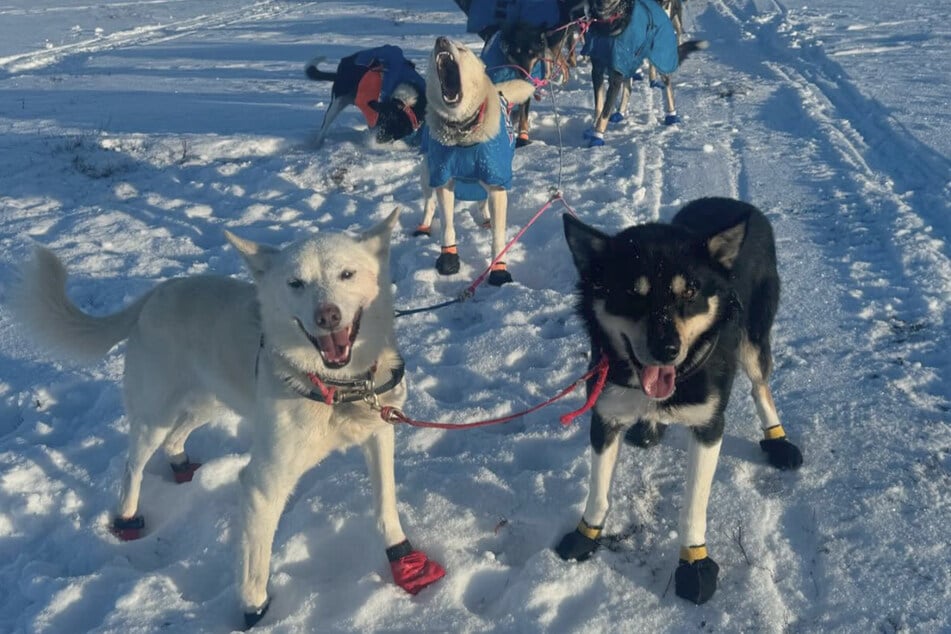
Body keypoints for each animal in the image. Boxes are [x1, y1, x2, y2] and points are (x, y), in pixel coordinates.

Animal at [7, 209, 446, 628]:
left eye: (347, 274)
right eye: (295, 283)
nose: (327, 315)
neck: (338, 388)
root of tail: (156, 294)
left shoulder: (379, 435)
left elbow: (386, 507)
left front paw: (405, 560)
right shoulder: (262, 484)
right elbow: (255, 562)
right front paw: (254, 611)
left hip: (210, 401)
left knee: (175, 440)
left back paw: (183, 466)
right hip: (156, 413)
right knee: (133, 464)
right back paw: (127, 519)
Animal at [556, 196, 804, 604]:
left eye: (689, 293)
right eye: (631, 293)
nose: (667, 349)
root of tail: (733, 202)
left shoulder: (709, 427)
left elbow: (693, 507)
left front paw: (694, 563)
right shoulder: (605, 415)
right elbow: (598, 491)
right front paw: (585, 535)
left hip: (754, 338)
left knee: (760, 387)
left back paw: (777, 438)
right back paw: (648, 427)